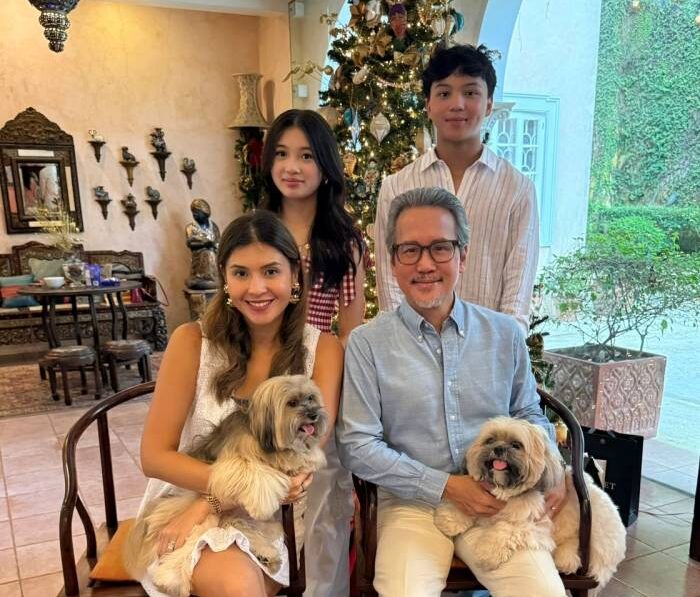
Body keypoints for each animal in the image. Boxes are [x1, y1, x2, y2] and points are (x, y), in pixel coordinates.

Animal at [434, 417, 626, 595]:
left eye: (516, 445)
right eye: (490, 440)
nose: (499, 448)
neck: (506, 495)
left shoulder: (534, 523)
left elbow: (505, 530)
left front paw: (487, 552)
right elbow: (467, 506)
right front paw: (450, 518)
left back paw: (568, 559)